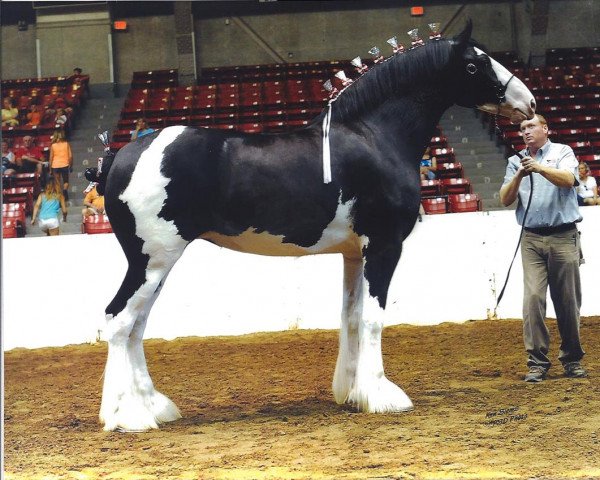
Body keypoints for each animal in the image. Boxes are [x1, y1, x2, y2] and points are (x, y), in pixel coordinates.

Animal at [98, 20, 536, 432]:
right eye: (475, 64)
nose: (529, 103)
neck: (376, 137)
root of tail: (120, 157)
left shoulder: (354, 254)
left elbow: (351, 317)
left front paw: (354, 392)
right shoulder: (384, 246)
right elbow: (374, 318)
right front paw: (382, 396)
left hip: (158, 265)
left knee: (136, 326)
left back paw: (153, 406)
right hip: (153, 260)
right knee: (119, 321)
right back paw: (128, 417)